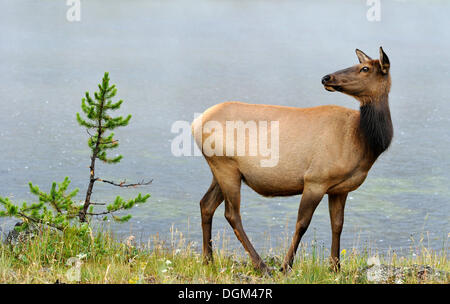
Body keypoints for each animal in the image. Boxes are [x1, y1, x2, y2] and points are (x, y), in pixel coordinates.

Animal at [192, 47, 392, 274]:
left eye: (364, 68)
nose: (326, 78)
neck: (363, 141)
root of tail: (195, 123)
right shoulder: (316, 179)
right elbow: (302, 223)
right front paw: (286, 266)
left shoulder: (340, 188)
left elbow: (338, 224)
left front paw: (335, 267)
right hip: (225, 165)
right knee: (232, 214)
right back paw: (261, 265)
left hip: (222, 169)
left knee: (206, 204)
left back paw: (208, 260)